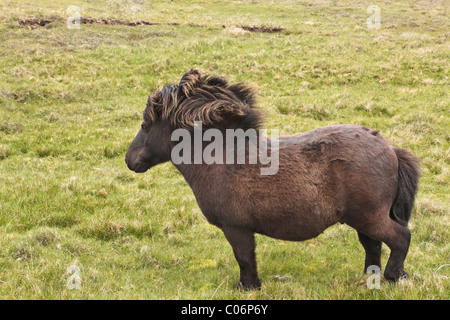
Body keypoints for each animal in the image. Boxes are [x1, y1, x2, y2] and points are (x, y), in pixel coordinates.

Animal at [125, 69, 420, 290]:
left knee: (400, 238)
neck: (220, 157)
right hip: (362, 220)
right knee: (373, 246)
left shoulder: (236, 228)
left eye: (145, 125)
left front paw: (248, 287)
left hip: (370, 217)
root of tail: (391, 149)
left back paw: (395, 276)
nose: (129, 160)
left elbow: (244, 258)